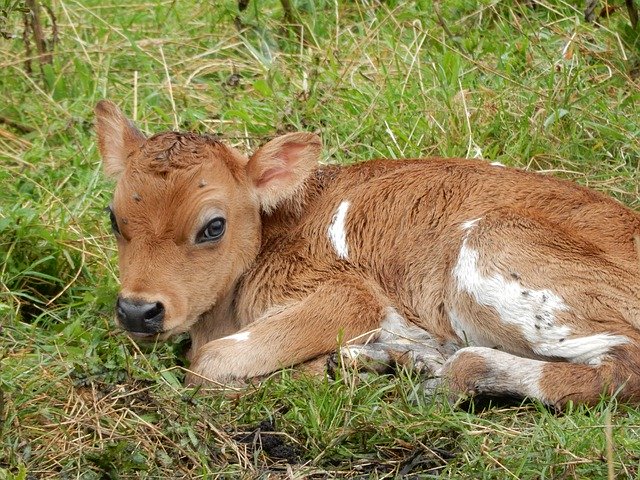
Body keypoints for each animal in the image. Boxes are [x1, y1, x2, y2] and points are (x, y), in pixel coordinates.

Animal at [95, 101, 640, 408]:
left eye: (213, 226)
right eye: (113, 216)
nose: (138, 311)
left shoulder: (344, 293)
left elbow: (209, 363)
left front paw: (321, 371)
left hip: (498, 248)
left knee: (621, 369)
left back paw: (443, 375)